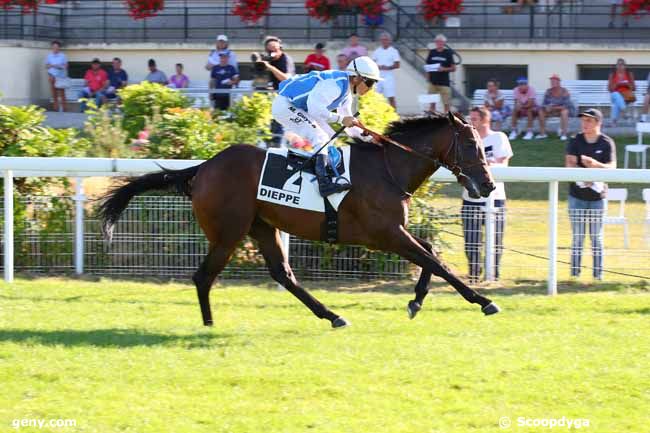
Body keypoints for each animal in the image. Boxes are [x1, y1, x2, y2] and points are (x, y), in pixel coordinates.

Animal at [98, 110, 498, 328]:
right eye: (471, 145)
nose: (489, 184)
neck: (389, 168)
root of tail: (204, 167)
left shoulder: (390, 233)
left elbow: (430, 254)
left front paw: (416, 301)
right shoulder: (385, 233)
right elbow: (437, 261)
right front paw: (482, 301)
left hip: (262, 226)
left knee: (283, 273)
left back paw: (332, 315)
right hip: (228, 233)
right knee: (203, 276)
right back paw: (209, 325)